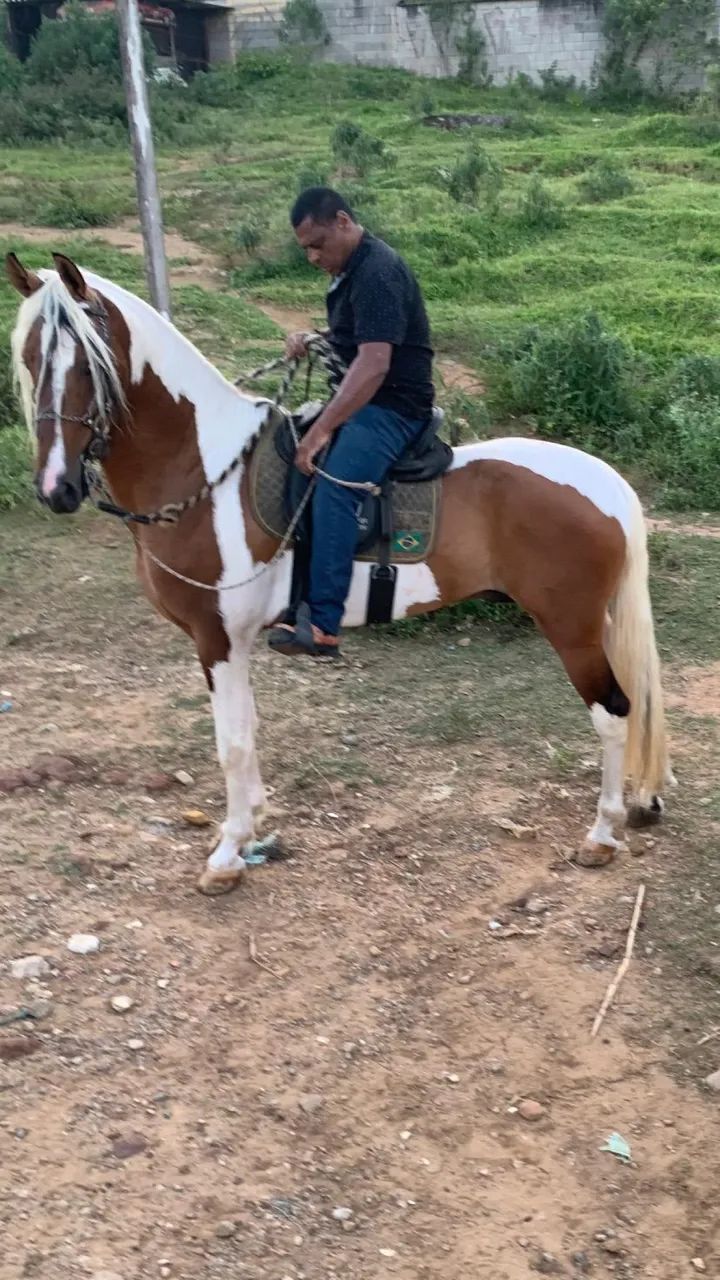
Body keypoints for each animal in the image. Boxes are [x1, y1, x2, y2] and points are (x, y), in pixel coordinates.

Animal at [7, 251, 670, 896]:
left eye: (88, 364)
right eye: (30, 357)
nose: (56, 487)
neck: (203, 471)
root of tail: (606, 482)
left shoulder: (217, 638)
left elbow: (231, 744)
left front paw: (227, 853)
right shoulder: (232, 643)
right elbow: (248, 733)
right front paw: (252, 829)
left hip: (571, 627)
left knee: (614, 712)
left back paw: (603, 832)